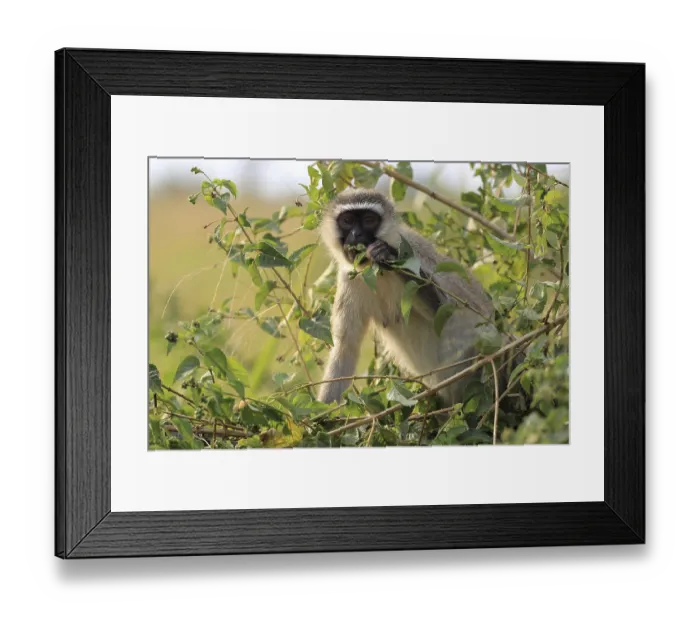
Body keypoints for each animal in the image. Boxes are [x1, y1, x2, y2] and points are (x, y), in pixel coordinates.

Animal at [318, 188, 505, 408]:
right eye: (347, 220)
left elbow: (444, 310)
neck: (373, 271)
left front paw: (388, 256)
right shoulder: (349, 279)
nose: (356, 234)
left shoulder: (410, 248)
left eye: (369, 220)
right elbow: (345, 347)